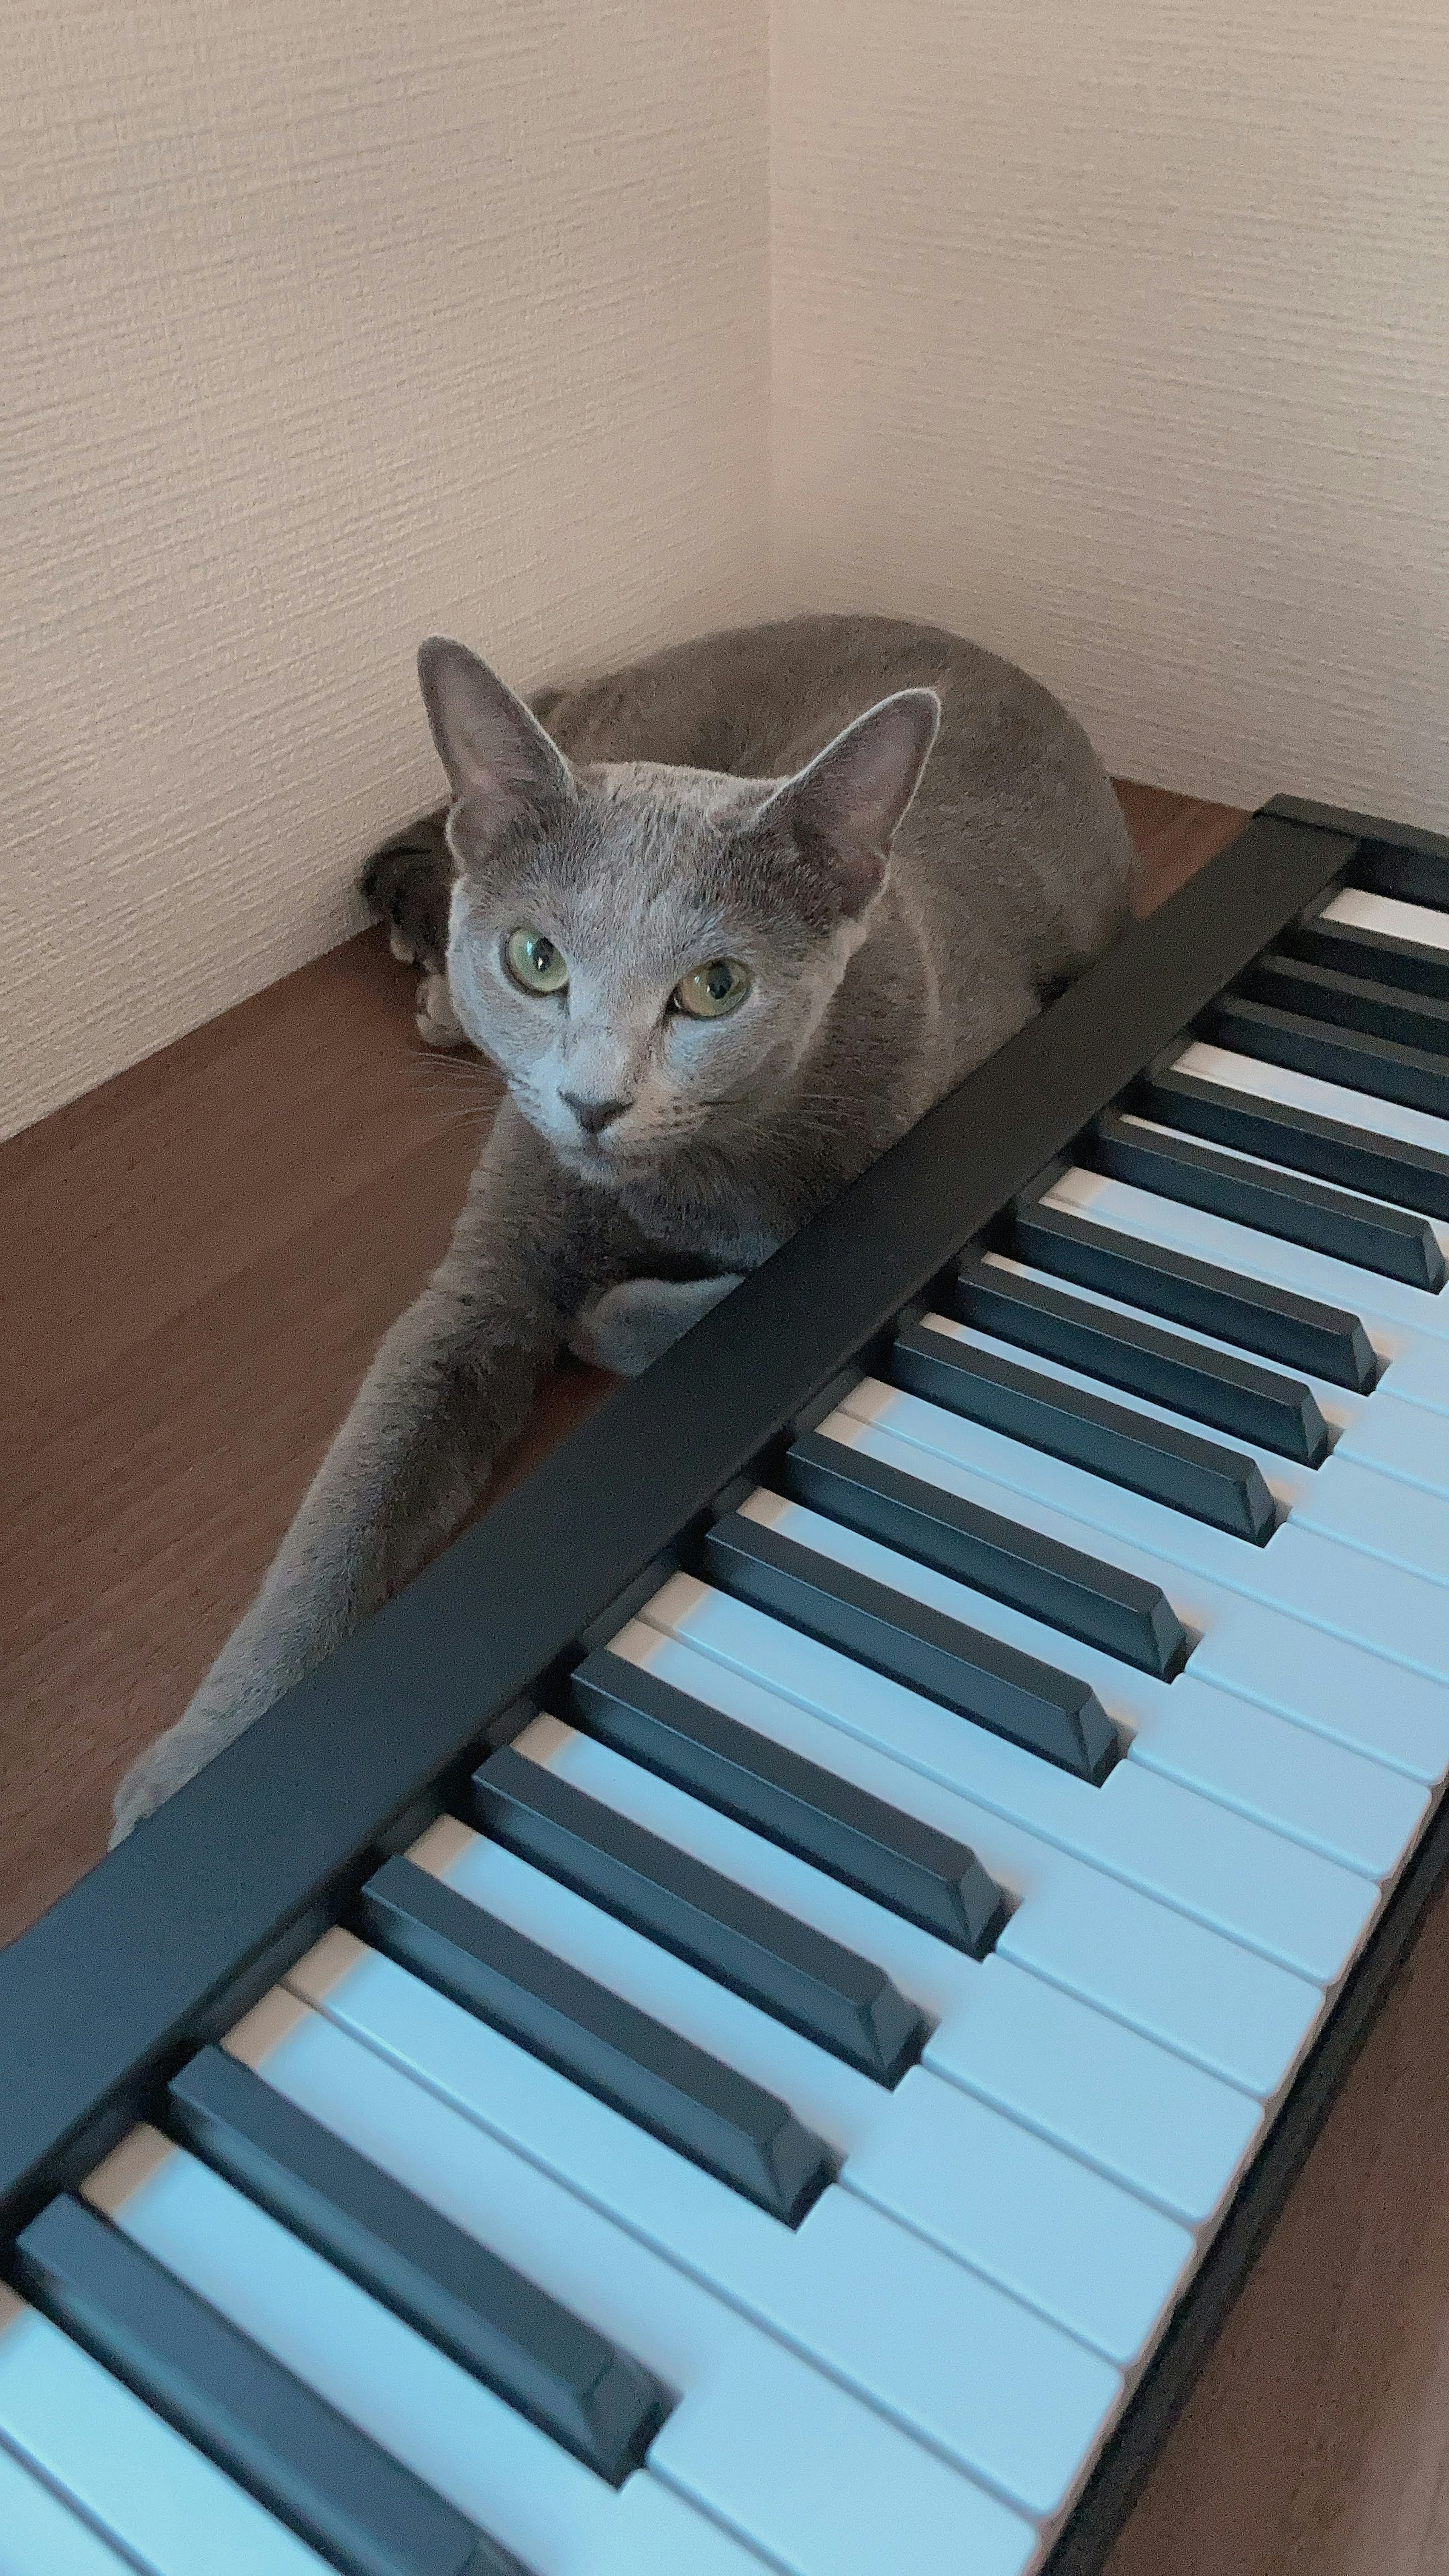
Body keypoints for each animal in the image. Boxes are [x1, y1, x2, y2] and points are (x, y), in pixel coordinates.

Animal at [107, 613, 1134, 1844]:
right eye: (534, 959)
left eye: (717, 987)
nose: (592, 1100)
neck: (680, 1182)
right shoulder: (484, 1283)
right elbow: (350, 1503)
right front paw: (198, 1776)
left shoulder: (941, 1153)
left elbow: (735, 1289)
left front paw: (613, 1311)